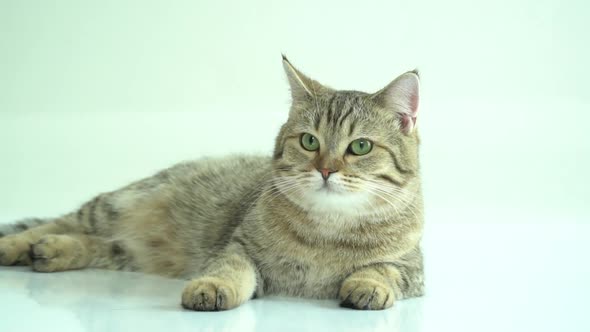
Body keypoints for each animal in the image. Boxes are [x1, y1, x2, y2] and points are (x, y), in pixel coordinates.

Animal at [0, 55, 426, 312]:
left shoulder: (413, 268)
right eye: (309, 141)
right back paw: (19, 245)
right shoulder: (237, 246)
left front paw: (368, 285)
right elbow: (230, 269)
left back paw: (52, 251)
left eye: (360, 146)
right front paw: (212, 288)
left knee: (98, 244)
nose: (325, 170)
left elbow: (385, 270)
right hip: (114, 204)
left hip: (125, 249)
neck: (328, 229)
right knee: (61, 221)